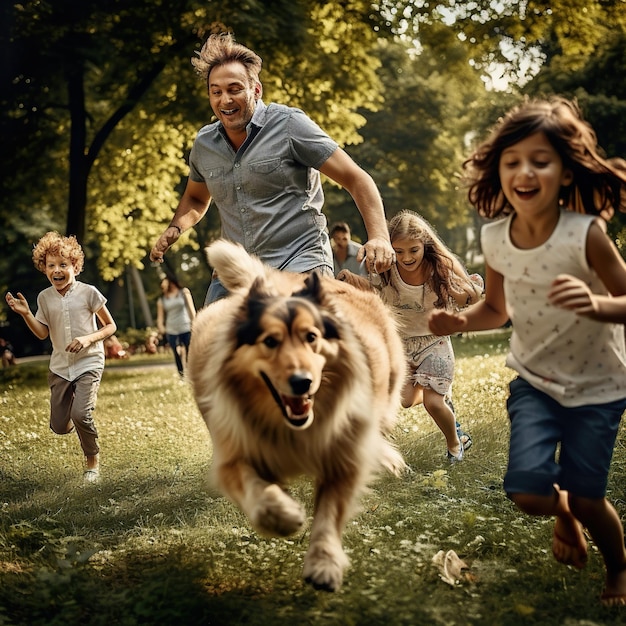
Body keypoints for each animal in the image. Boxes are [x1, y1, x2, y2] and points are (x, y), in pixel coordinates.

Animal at [188, 240, 408, 588]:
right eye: (269, 342)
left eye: (312, 337)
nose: (302, 381)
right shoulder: (235, 453)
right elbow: (255, 491)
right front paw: (282, 515)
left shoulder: (343, 457)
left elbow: (329, 513)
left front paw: (323, 561)